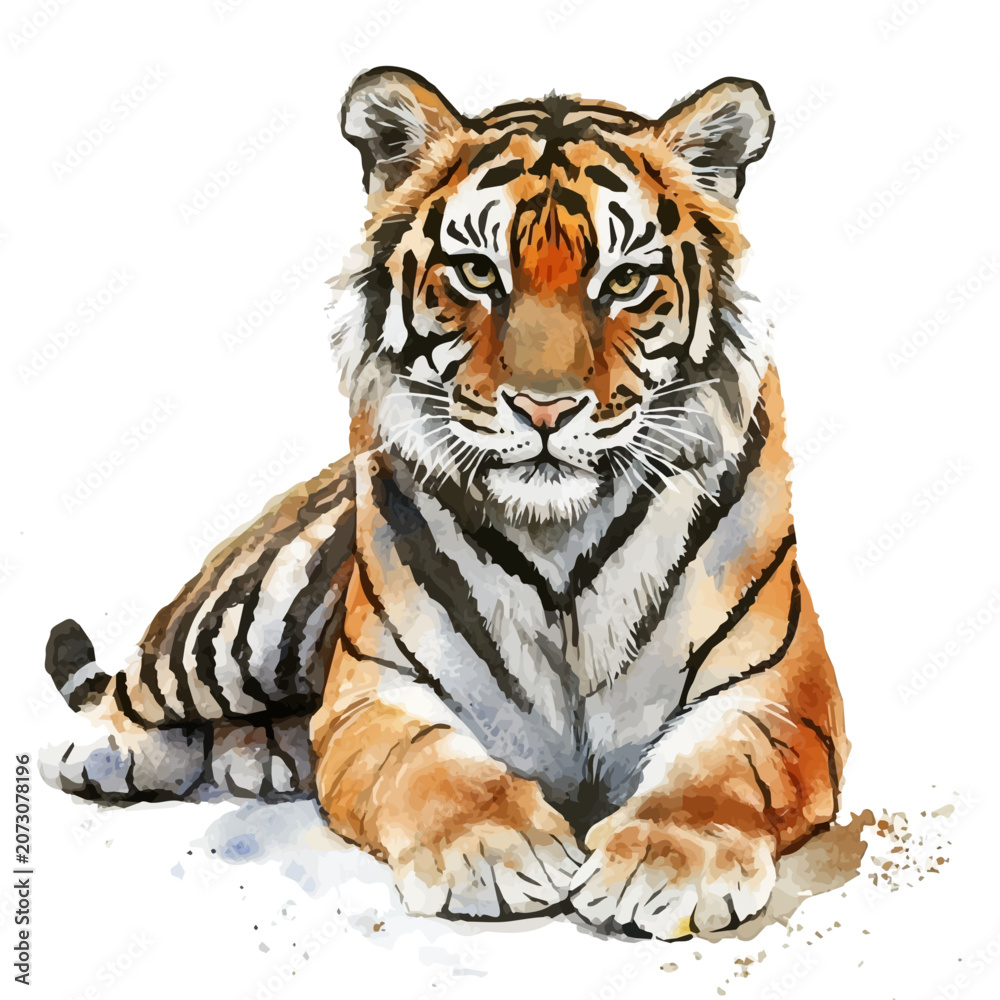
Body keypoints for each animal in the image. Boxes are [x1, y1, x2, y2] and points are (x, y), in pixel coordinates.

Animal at [42, 66, 848, 940]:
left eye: (625, 280)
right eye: (478, 273)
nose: (544, 409)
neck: (562, 538)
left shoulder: (774, 697)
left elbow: (714, 774)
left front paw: (666, 864)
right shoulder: (380, 694)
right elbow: (434, 770)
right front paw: (494, 851)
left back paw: (264, 753)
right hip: (241, 621)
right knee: (139, 682)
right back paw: (118, 750)